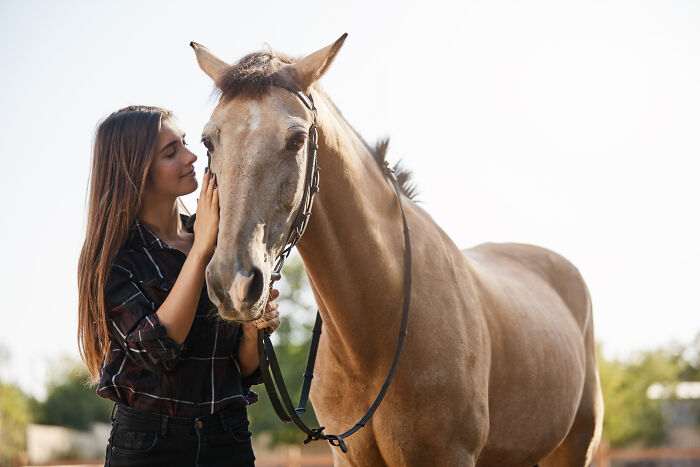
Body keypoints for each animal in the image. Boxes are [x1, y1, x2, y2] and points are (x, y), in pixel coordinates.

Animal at [190, 34, 604, 467]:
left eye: (297, 140)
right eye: (208, 140)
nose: (233, 283)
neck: (372, 341)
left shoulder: (452, 455)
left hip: (575, 448)